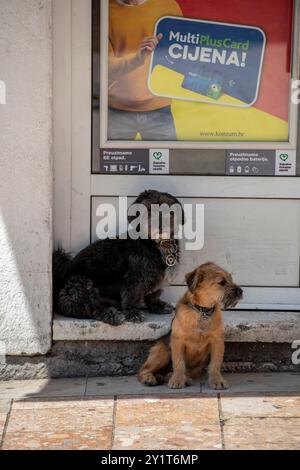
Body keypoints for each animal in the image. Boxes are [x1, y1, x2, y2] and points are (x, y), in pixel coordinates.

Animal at [54, 189, 185, 324]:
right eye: (148, 211)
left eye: (167, 209)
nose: (160, 225)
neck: (156, 243)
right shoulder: (134, 277)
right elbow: (132, 296)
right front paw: (133, 312)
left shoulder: (156, 277)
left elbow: (153, 294)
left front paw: (158, 306)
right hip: (81, 283)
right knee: (90, 307)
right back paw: (110, 315)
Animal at [138, 262, 244, 392]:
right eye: (221, 282)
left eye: (230, 279)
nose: (241, 291)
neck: (202, 311)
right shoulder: (178, 341)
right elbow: (179, 363)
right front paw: (177, 380)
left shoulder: (217, 341)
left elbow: (215, 363)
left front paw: (217, 380)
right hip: (161, 350)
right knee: (143, 370)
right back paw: (149, 378)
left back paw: (180, 377)